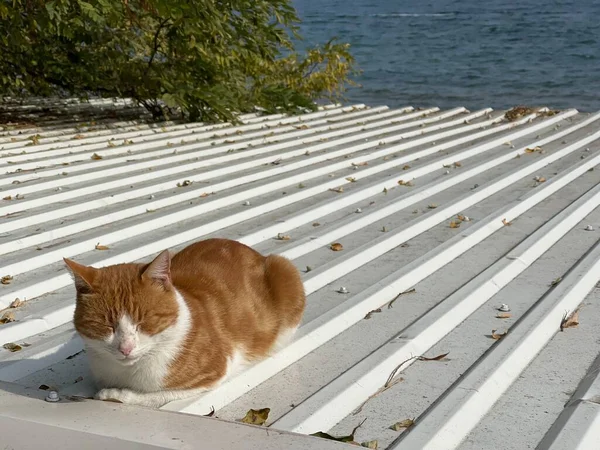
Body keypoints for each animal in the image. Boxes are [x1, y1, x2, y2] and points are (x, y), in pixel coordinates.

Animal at [64, 239, 304, 408]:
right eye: (107, 325)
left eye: (144, 321)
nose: (126, 348)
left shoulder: (212, 374)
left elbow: (153, 396)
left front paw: (114, 394)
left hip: (284, 269)